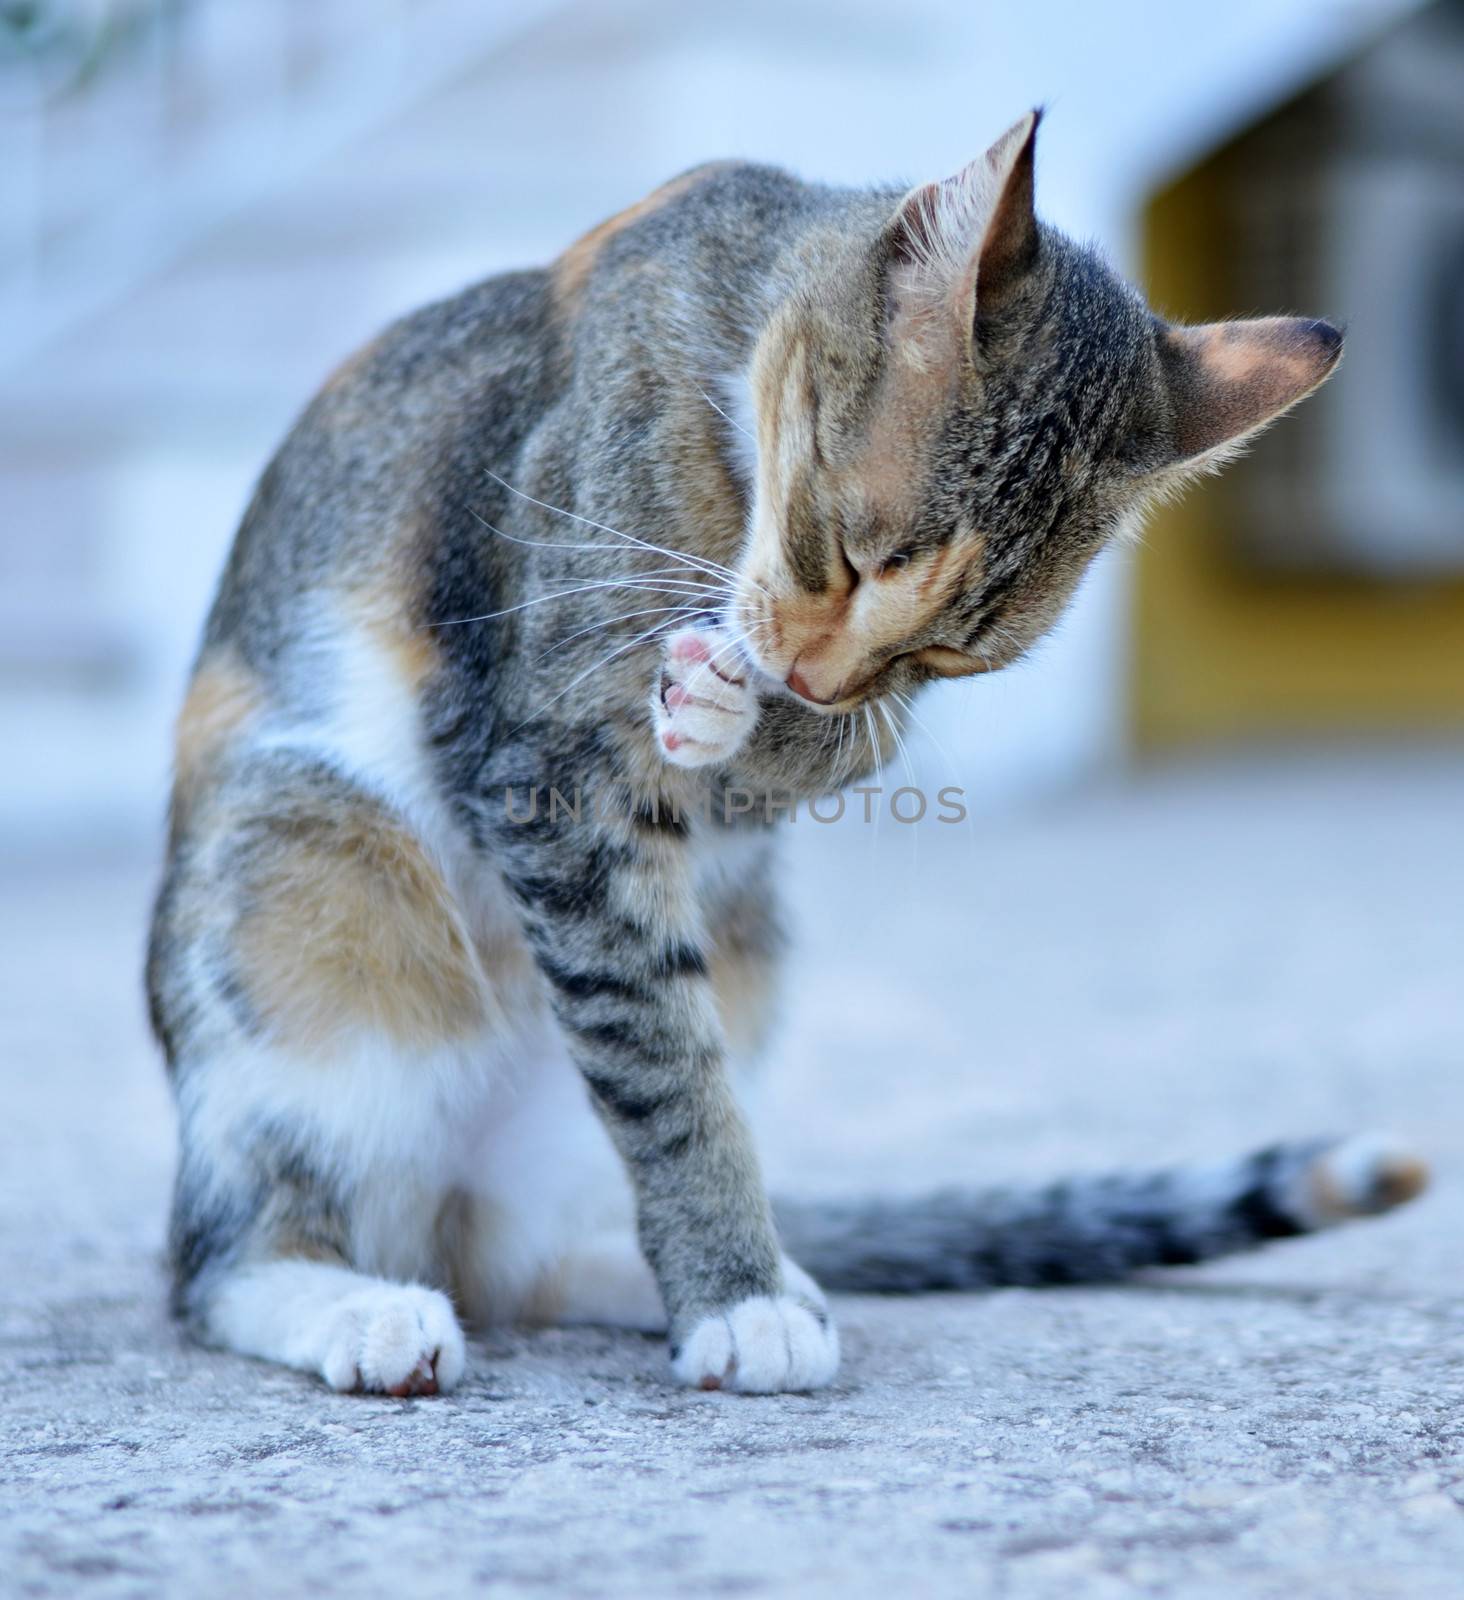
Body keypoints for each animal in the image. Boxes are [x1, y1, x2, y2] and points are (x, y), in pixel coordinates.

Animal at [143, 109, 1427, 1388]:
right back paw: (366, 1310)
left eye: (950, 651)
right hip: (301, 878)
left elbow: (829, 762)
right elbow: (662, 1064)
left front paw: (742, 713)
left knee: (536, 1261)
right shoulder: (533, 755)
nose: (814, 678)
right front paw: (736, 1291)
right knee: (221, 1263)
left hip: (737, 958)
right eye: (853, 553)